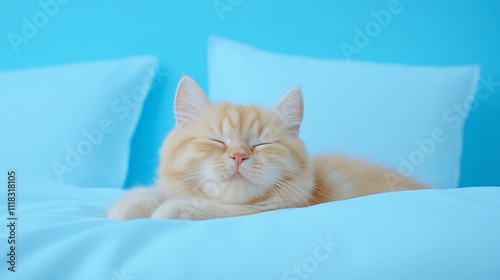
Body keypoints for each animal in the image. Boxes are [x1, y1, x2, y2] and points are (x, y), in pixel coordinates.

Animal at [106, 75, 426, 220]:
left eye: (261, 144)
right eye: (218, 141)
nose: (238, 156)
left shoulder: (270, 211)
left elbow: (209, 207)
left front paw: (173, 209)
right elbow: (158, 193)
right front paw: (131, 204)